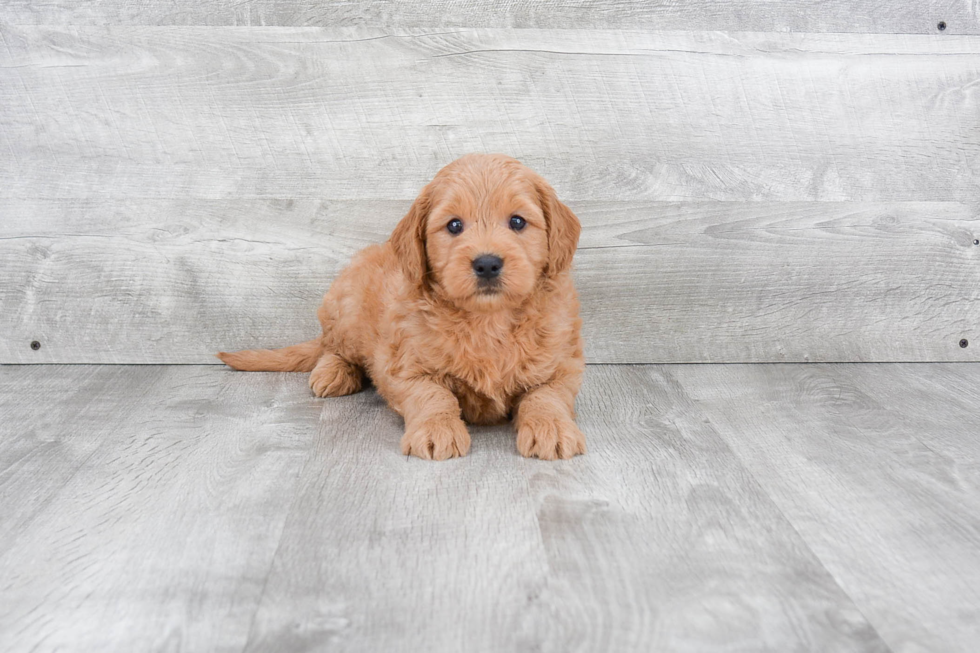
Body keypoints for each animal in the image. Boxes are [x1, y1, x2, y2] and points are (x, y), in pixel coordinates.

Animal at [219, 153, 584, 460]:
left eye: (518, 222)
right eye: (454, 225)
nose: (487, 264)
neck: (487, 320)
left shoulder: (562, 365)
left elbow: (546, 396)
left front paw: (551, 429)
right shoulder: (405, 367)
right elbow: (433, 395)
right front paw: (437, 430)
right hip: (346, 311)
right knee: (331, 348)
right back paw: (333, 372)